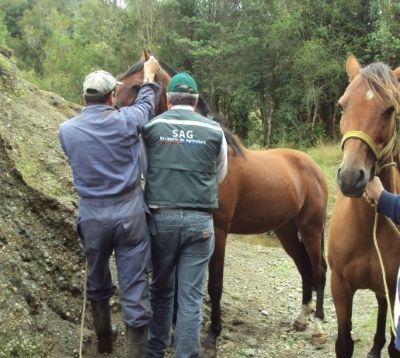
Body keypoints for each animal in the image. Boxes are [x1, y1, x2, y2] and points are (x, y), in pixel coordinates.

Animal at [115, 51, 328, 354]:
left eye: (136, 85)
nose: (112, 113)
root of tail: (313, 168)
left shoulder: (218, 232)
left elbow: (214, 284)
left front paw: (213, 335)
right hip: (286, 230)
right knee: (304, 267)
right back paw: (301, 319)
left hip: (311, 228)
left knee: (319, 271)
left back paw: (318, 328)